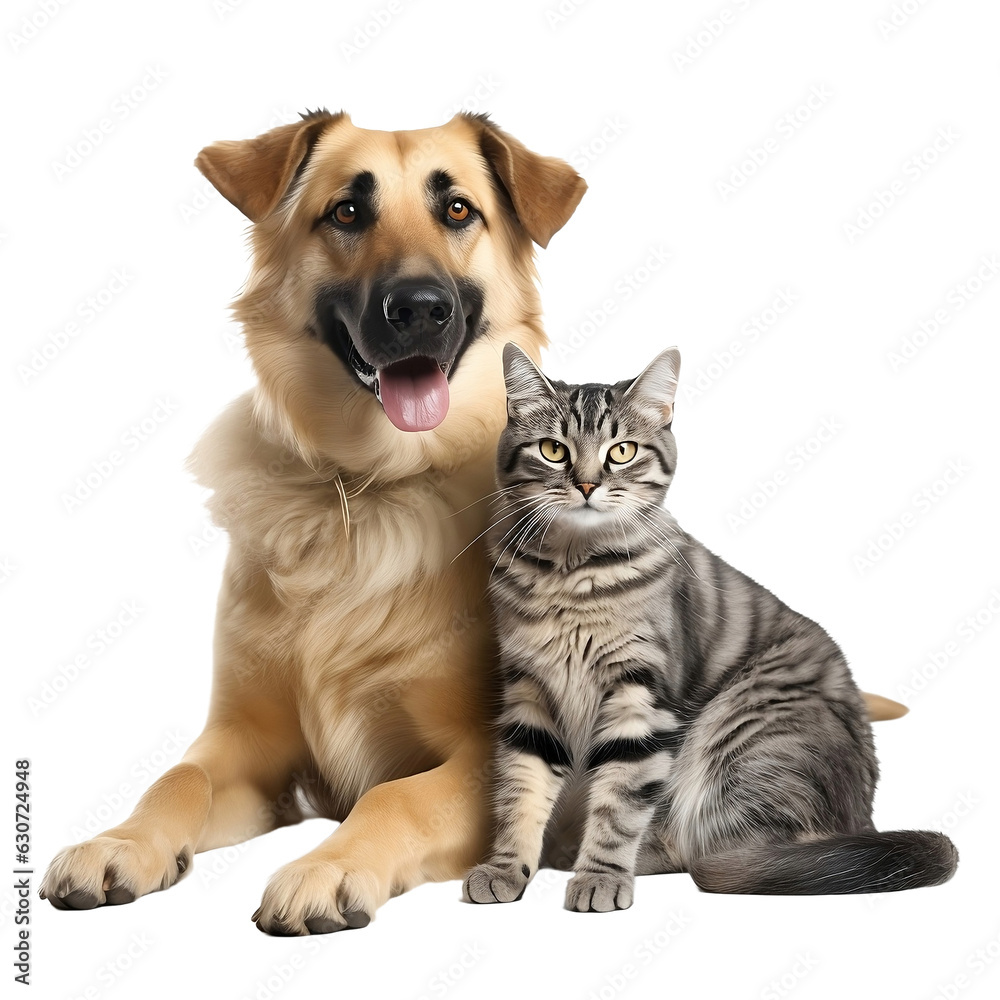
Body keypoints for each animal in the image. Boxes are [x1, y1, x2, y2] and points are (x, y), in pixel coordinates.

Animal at [464, 346, 956, 916]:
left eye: (622, 451)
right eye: (553, 450)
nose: (587, 485)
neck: (573, 574)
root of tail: (864, 818)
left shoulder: (641, 698)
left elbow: (618, 805)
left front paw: (600, 875)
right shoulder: (530, 694)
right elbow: (519, 793)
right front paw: (505, 868)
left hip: (743, 727)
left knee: (713, 849)